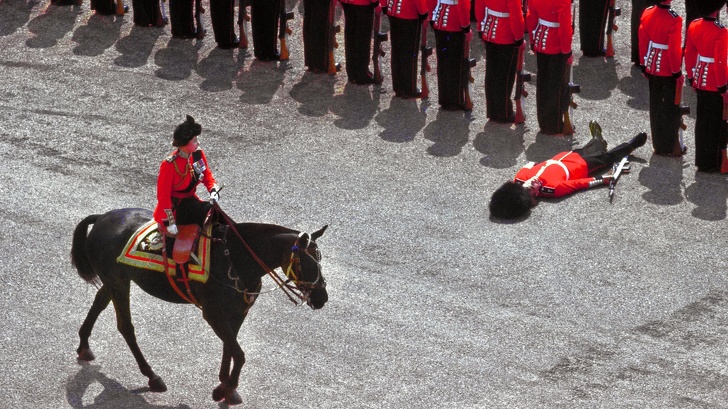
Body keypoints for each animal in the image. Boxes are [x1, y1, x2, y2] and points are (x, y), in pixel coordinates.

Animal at [70, 207, 328, 404]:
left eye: (320, 260)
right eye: (306, 263)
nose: (322, 298)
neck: (236, 258)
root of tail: (102, 217)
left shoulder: (237, 314)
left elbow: (230, 348)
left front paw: (226, 386)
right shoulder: (213, 315)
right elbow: (239, 354)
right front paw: (225, 388)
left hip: (114, 281)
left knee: (99, 303)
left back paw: (84, 345)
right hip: (119, 282)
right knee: (126, 326)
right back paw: (152, 376)